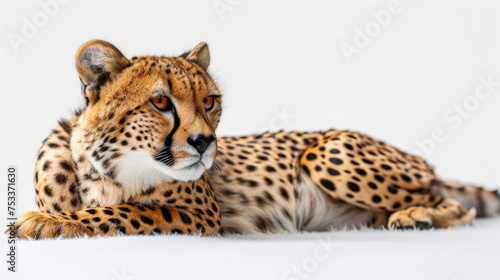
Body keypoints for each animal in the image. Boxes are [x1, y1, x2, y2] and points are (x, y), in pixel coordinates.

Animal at [12, 40, 500, 240]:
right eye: (161, 102)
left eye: (209, 101)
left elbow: (128, 211)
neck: (104, 168)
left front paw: (49, 222)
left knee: (454, 202)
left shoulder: (203, 216)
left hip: (328, 151)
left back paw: (418, 215)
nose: (204, 142)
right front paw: (53, 216)